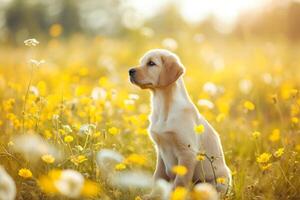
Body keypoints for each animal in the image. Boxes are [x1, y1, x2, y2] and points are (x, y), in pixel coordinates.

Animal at [127, 48, 231, 198]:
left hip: (215, 182)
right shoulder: (160, 150)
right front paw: (153, 196)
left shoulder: (187, 152)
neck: (163, 106)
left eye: (151, 63)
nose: (130, 71)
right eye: (141, 62)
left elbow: (180, 182)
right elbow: (157, 177)